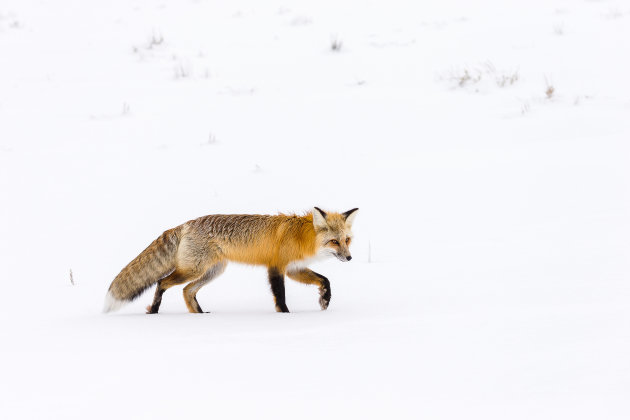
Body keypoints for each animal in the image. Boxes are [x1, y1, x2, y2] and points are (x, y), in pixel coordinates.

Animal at [105, 208, 360, 314]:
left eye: (347, 240)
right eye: (334, 242)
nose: (349, 257)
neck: (300, 236)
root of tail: (185, 224)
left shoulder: (293, 269)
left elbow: (325, 280)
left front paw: (325, 299)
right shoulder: (276, 267)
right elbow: (280, 297)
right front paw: (285, 316)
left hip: (213, 271)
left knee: (187, 291)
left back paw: (199, 315)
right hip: (193, 270)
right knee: (161, 283)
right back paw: (154, 310)